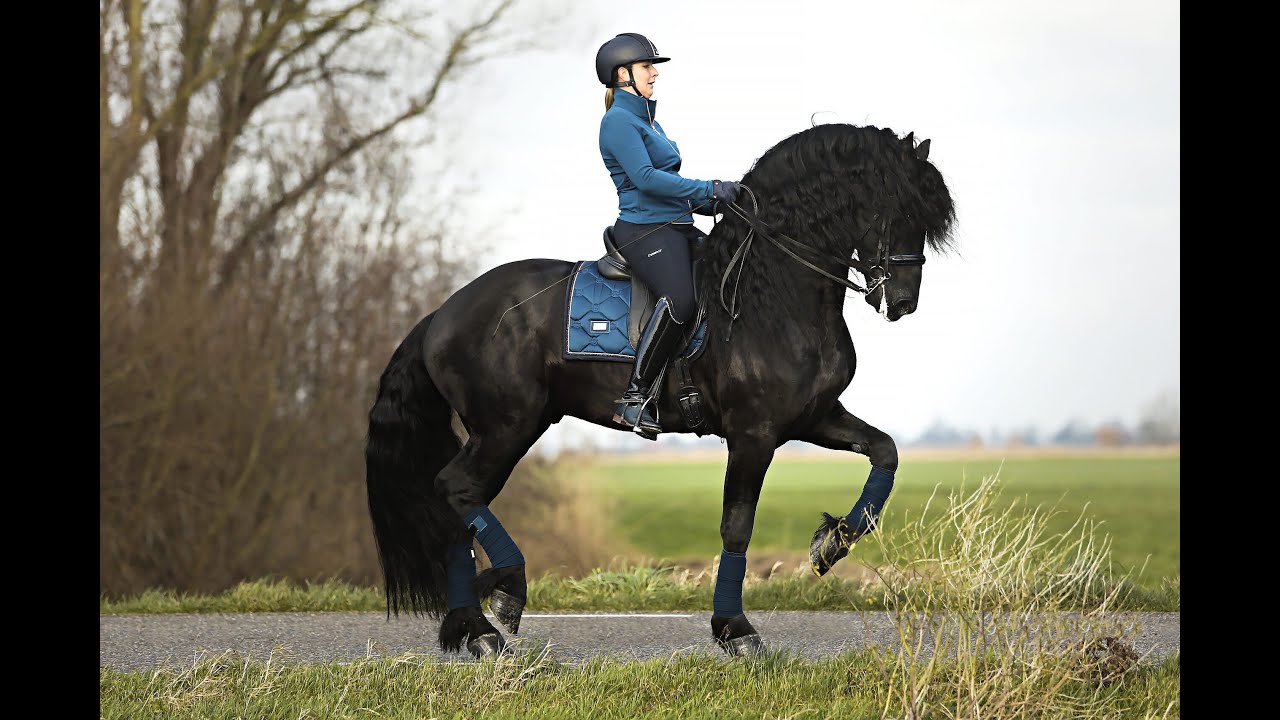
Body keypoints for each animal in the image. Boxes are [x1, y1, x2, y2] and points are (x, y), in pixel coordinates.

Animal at [365, 122, 956, 658]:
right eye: (895, 209)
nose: (903, 302)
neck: (771, 293)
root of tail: (442, 314)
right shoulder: (753, 433)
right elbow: (737, 527)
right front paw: (735, 630)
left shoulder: (813, 416)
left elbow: (885, 452)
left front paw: (832, 544)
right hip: (506, 425)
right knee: (456, 488)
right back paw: (501, 602)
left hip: (506, 428)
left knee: (459, 505)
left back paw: (472, 628)